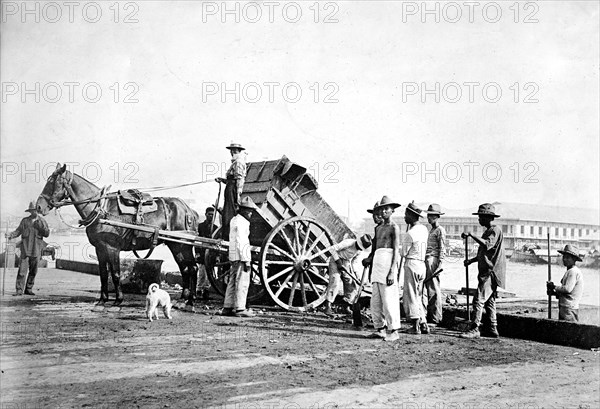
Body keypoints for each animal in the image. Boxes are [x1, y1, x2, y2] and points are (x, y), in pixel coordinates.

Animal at [35, 163, 199, 306]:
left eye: (52, 182)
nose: (39, 207)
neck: (100, 209)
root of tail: (188, 210)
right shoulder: (100, 249)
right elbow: (103, 274)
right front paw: (103, 299)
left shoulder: (112, 248)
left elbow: (115, 273)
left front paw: (118, 299)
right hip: (176, 245)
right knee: (185, 268)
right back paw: (184, 297)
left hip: (181, 245)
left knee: (192, 268)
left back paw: (191, 298)